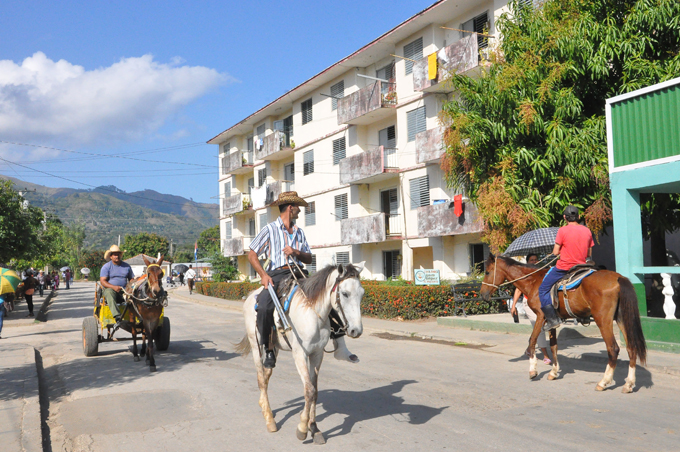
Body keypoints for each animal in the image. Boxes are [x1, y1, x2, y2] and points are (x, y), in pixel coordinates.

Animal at [235, 264, 364, 444]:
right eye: (345, 293)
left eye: (362, 293)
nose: (356, 331)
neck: (312, 315)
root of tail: (250, 296)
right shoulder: (299, 354)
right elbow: (308, 390)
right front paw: (303, 428)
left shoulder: (317, 354)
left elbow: (315, 391)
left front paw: (314, 428)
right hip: (256, 346)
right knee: (261, 379)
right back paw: (269, 420)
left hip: (273, 348)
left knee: (266, 375)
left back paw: (264, 406)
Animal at [478, 256, 648, 394]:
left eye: (487, 272)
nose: (482, 294)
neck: (534, 281)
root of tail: (618, 278)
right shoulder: (552, 320)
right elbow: (553, 346)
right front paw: (553, 372)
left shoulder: (541, 316)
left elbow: (532, 340)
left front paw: (533, 370)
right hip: (621, 318)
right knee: (631, 348)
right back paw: (629, 384)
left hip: (603, 320)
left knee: (613, 349)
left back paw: (604, 382)